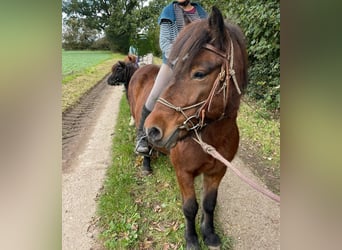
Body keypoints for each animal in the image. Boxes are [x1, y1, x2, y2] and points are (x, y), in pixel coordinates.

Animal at [127, 6, 247, 250]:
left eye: (199, 73)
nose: (154, 129)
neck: (211, 138)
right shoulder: (184, 172)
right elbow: (190, 207)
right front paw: (191, 238)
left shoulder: (217, 171)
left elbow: (209, 204)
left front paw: (209, 234)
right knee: (143, 146)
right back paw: (146, 163)